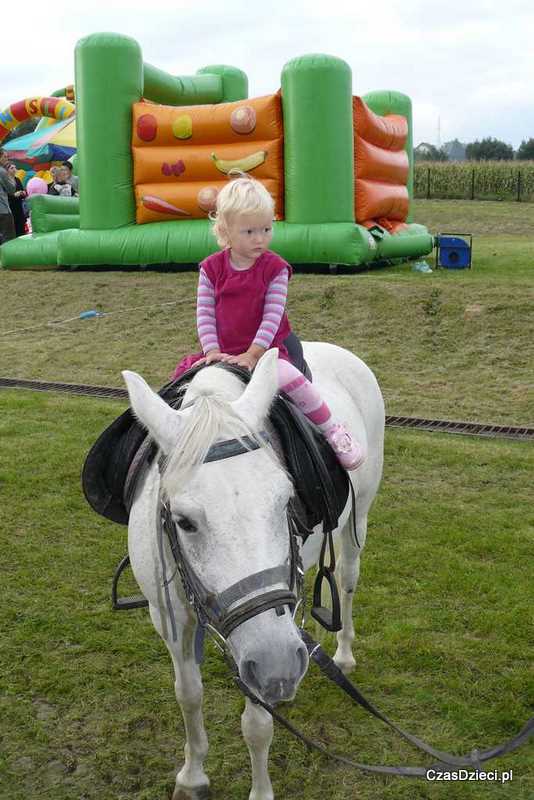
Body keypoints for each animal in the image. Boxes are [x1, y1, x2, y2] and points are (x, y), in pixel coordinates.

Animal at [123, 346, 384, 800]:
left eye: (286, 501)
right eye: (184, 521)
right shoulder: (169, 618)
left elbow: (258, 724)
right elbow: (188, 695)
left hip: (359, 522)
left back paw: (342, 654)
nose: (278, 662)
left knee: (347, 583)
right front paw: (192, 775)